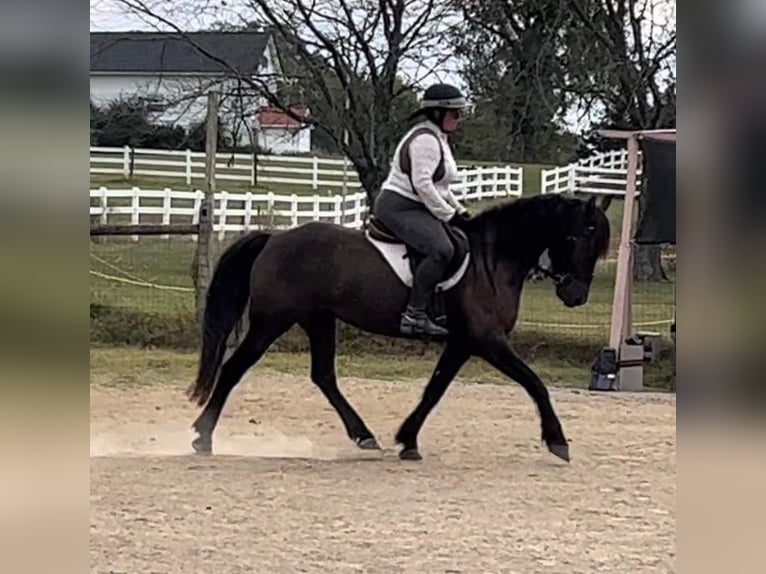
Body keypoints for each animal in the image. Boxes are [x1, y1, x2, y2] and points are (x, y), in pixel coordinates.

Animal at [188, 194, 612, 464]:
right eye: (575, 237)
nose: (575, 295)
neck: (492, 261)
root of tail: (275, 238)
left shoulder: (462, 344)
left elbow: (434, 391)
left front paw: (408, 439)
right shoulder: (488, 341)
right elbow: (535, 383)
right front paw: (557, 441)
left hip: (319, 320)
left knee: (323, 376)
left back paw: (364, 436)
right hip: (272, 321)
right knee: (234, 368)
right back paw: (202, 435)